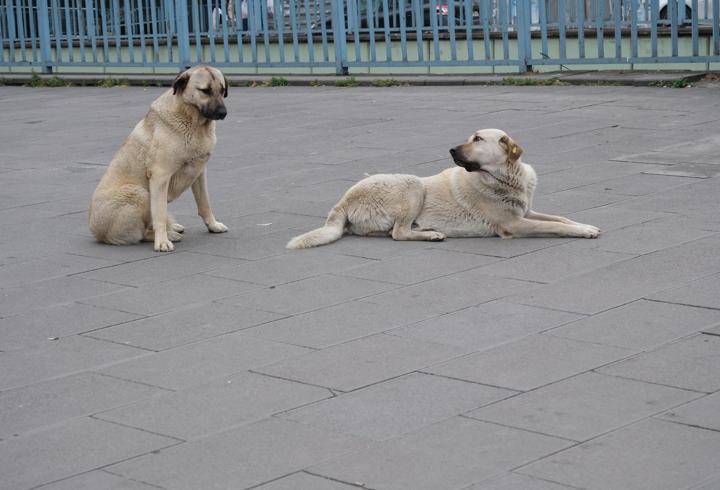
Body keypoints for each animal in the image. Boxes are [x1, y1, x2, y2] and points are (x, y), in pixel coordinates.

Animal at [89, 64, 229, 253]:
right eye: (205, 91)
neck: (192, 121)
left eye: (222, 90)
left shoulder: (199, 173)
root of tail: (96, 233)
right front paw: (162, 242)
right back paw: (168, 234)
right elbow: (160, 214)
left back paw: (173, 228)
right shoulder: (160, 176)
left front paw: (212, 225)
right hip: (139, 193)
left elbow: (205, 204)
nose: (223, 112)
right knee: (141, 233)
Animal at [290, 128, 600, 249]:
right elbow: (556, 226)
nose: (451, 149)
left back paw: (427, 230)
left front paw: (584, 224)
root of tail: (341, 203)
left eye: (477, 139)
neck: (504, 178)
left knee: (392, 232)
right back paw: (432, 234)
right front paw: (584, 232)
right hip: (413, 184)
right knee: (399, 233)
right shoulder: (515, 224)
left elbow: (560, 218)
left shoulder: (527, 212)